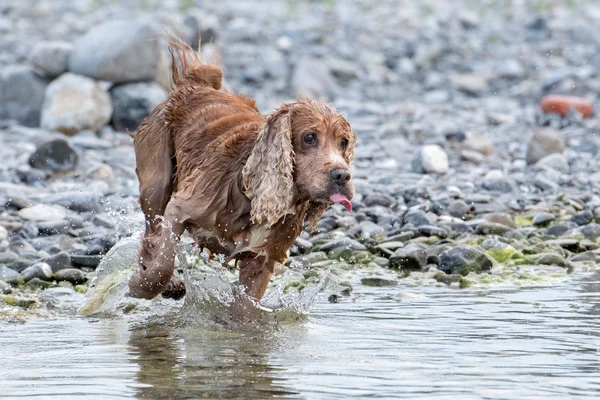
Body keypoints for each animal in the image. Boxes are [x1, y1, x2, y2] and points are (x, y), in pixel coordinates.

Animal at [128, 35, 354, 304]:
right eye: (309, 137)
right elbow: (163, 261)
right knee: (152, 232)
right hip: (156, 184)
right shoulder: (180, 208)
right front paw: (141, 286)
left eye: (344, 142)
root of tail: (195, 86)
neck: (251, 192)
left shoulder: (262, 259)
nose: (342, 175)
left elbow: (247, 306)